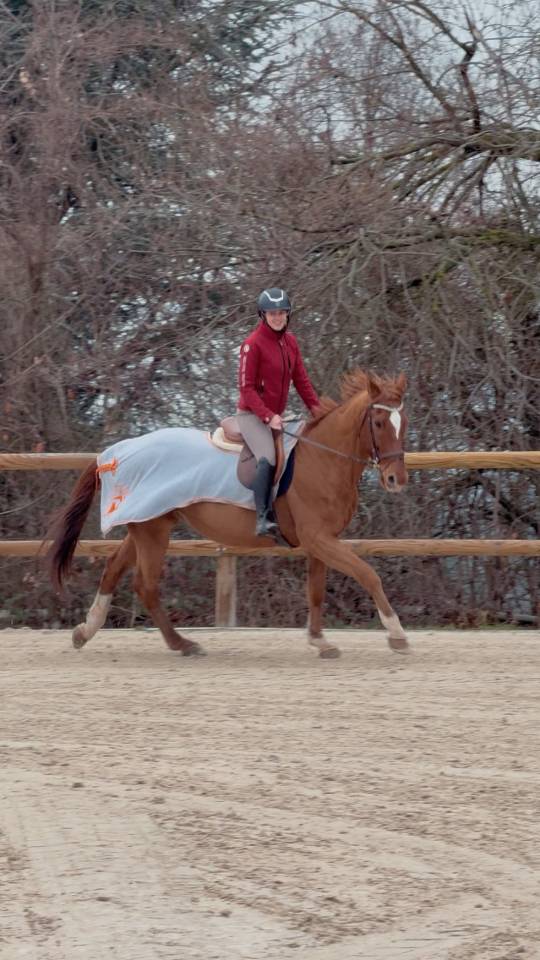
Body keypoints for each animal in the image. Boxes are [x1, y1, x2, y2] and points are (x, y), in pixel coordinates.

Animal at [48, 369, 409, 659]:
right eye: (379, 423)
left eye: (402, 423)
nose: (396, 479)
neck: (322, 459)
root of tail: (115, 453)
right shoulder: (319, 539)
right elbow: (368, 574)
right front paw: (397, 635)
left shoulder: (321, 541)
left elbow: (316, 591)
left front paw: (320, 642)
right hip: (152, 531)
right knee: (146, 586)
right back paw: (183, 644)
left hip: (147, 524)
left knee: (113, 570)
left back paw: (85, 631)